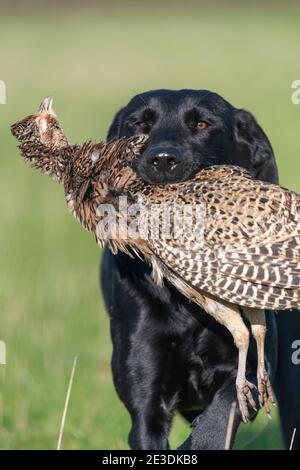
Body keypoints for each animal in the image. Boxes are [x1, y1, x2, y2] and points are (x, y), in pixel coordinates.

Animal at [100, 90, 300, 450]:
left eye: (202, 124)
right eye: (139, 124)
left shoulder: (254, 356)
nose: (163, 159)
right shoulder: (145, 399)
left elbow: (224, 409)